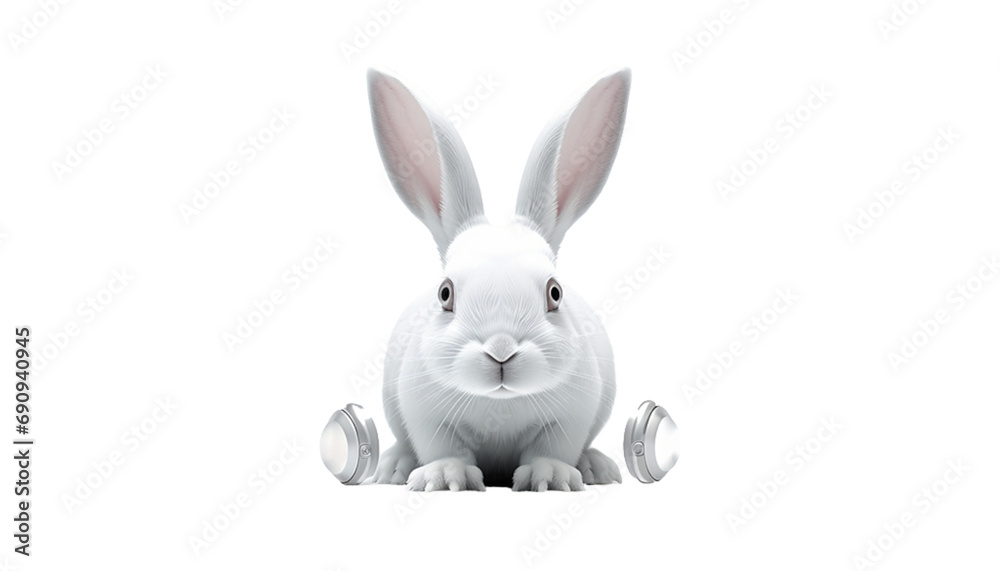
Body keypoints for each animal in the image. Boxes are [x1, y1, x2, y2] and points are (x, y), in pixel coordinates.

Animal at [366, 67, 630, 491]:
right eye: (445, 294)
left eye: (555, 293)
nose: (501, 350)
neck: (499, 404)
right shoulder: (426, 416)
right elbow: (444, 448)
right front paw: (444, 477)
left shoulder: (571, 417)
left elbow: (551, 448)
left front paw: (550, 477)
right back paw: (393, 468)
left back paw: (596, 468)